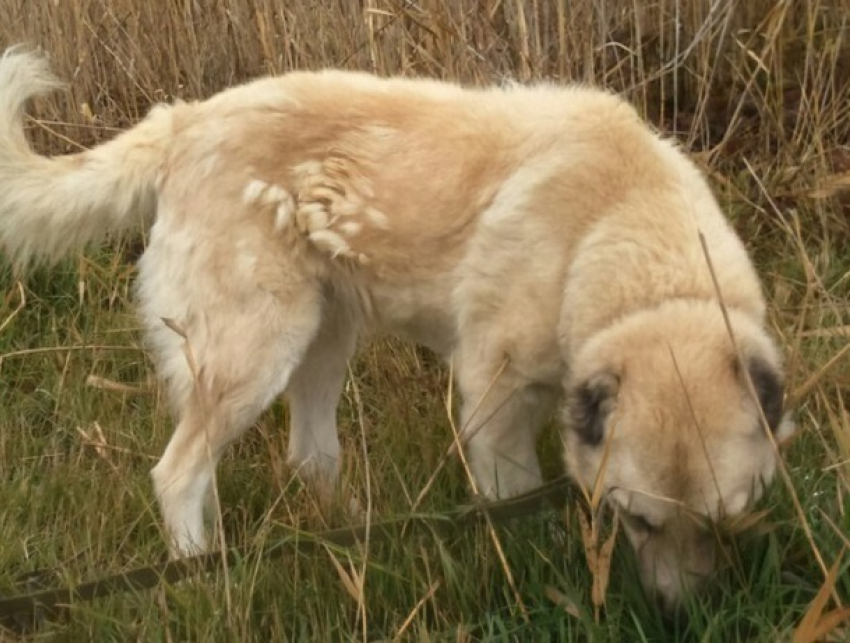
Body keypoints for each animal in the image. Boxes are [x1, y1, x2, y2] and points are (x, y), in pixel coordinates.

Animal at [0, 47, 796, 612]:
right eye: (637, 520)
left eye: (727, 524)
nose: (680, 619)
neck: (628, 244)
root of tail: (185, 120)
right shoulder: (495, 404)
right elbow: (514, 506)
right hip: (255, 355)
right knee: (178, 473)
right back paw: (201, 573)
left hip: (323, 340)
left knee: (307, 455)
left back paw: (351, 534)